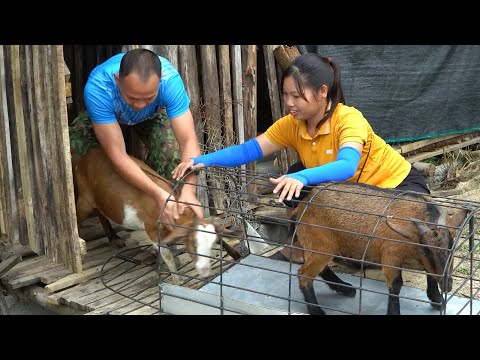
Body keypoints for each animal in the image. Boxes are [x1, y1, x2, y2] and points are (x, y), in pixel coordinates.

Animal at [288, 181, 468, 314]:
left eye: (452, 246)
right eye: (426, 250)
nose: (448, 285)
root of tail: (302, 206)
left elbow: (430, 275)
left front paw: (438, 300)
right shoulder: (390, 257)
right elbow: (396, 285)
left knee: (321, 269)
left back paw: (345, 289)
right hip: (321, 246)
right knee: (304, 275)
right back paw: (317, 310)